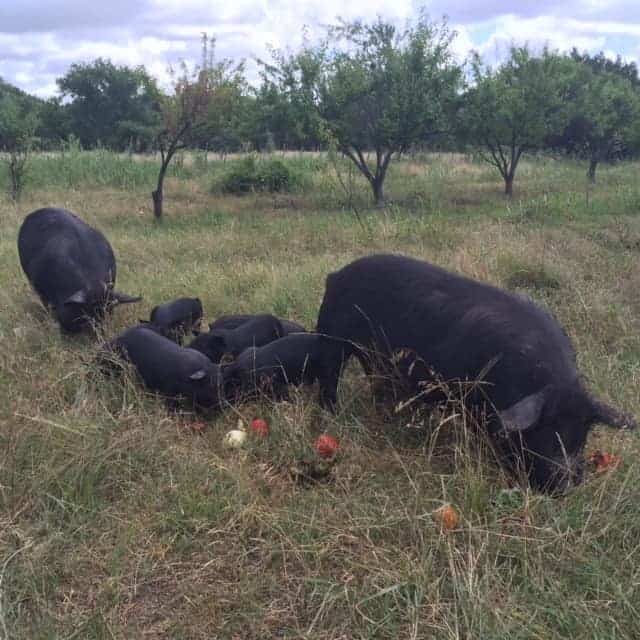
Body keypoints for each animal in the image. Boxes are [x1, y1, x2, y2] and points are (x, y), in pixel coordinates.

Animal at [315, 253, 636, 493]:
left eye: (583, 430)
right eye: (545, 426)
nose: (566, 483)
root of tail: (336, 274)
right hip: (332, 338)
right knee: (329, 378)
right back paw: (332, 415)